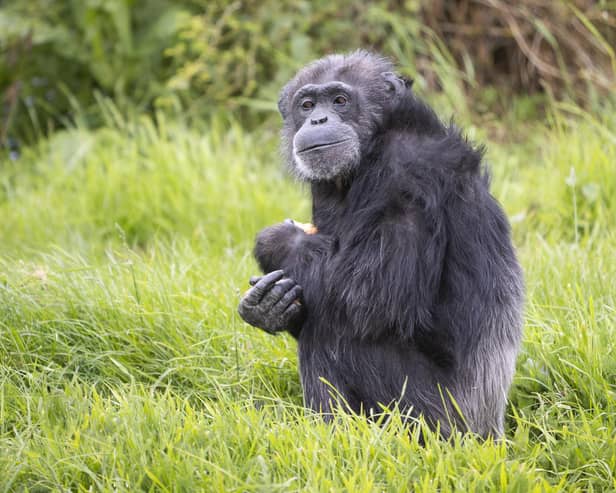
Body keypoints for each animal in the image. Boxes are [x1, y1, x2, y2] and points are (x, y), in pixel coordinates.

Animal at [238, 51, 524, 438]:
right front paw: (268, 307)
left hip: (431, 417)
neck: (374, 145)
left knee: (336, 336)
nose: (318, 119)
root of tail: (490, 433)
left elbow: (367, 294)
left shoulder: (408, 176)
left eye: (340, 100)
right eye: (307, 104)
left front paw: (274, 240)